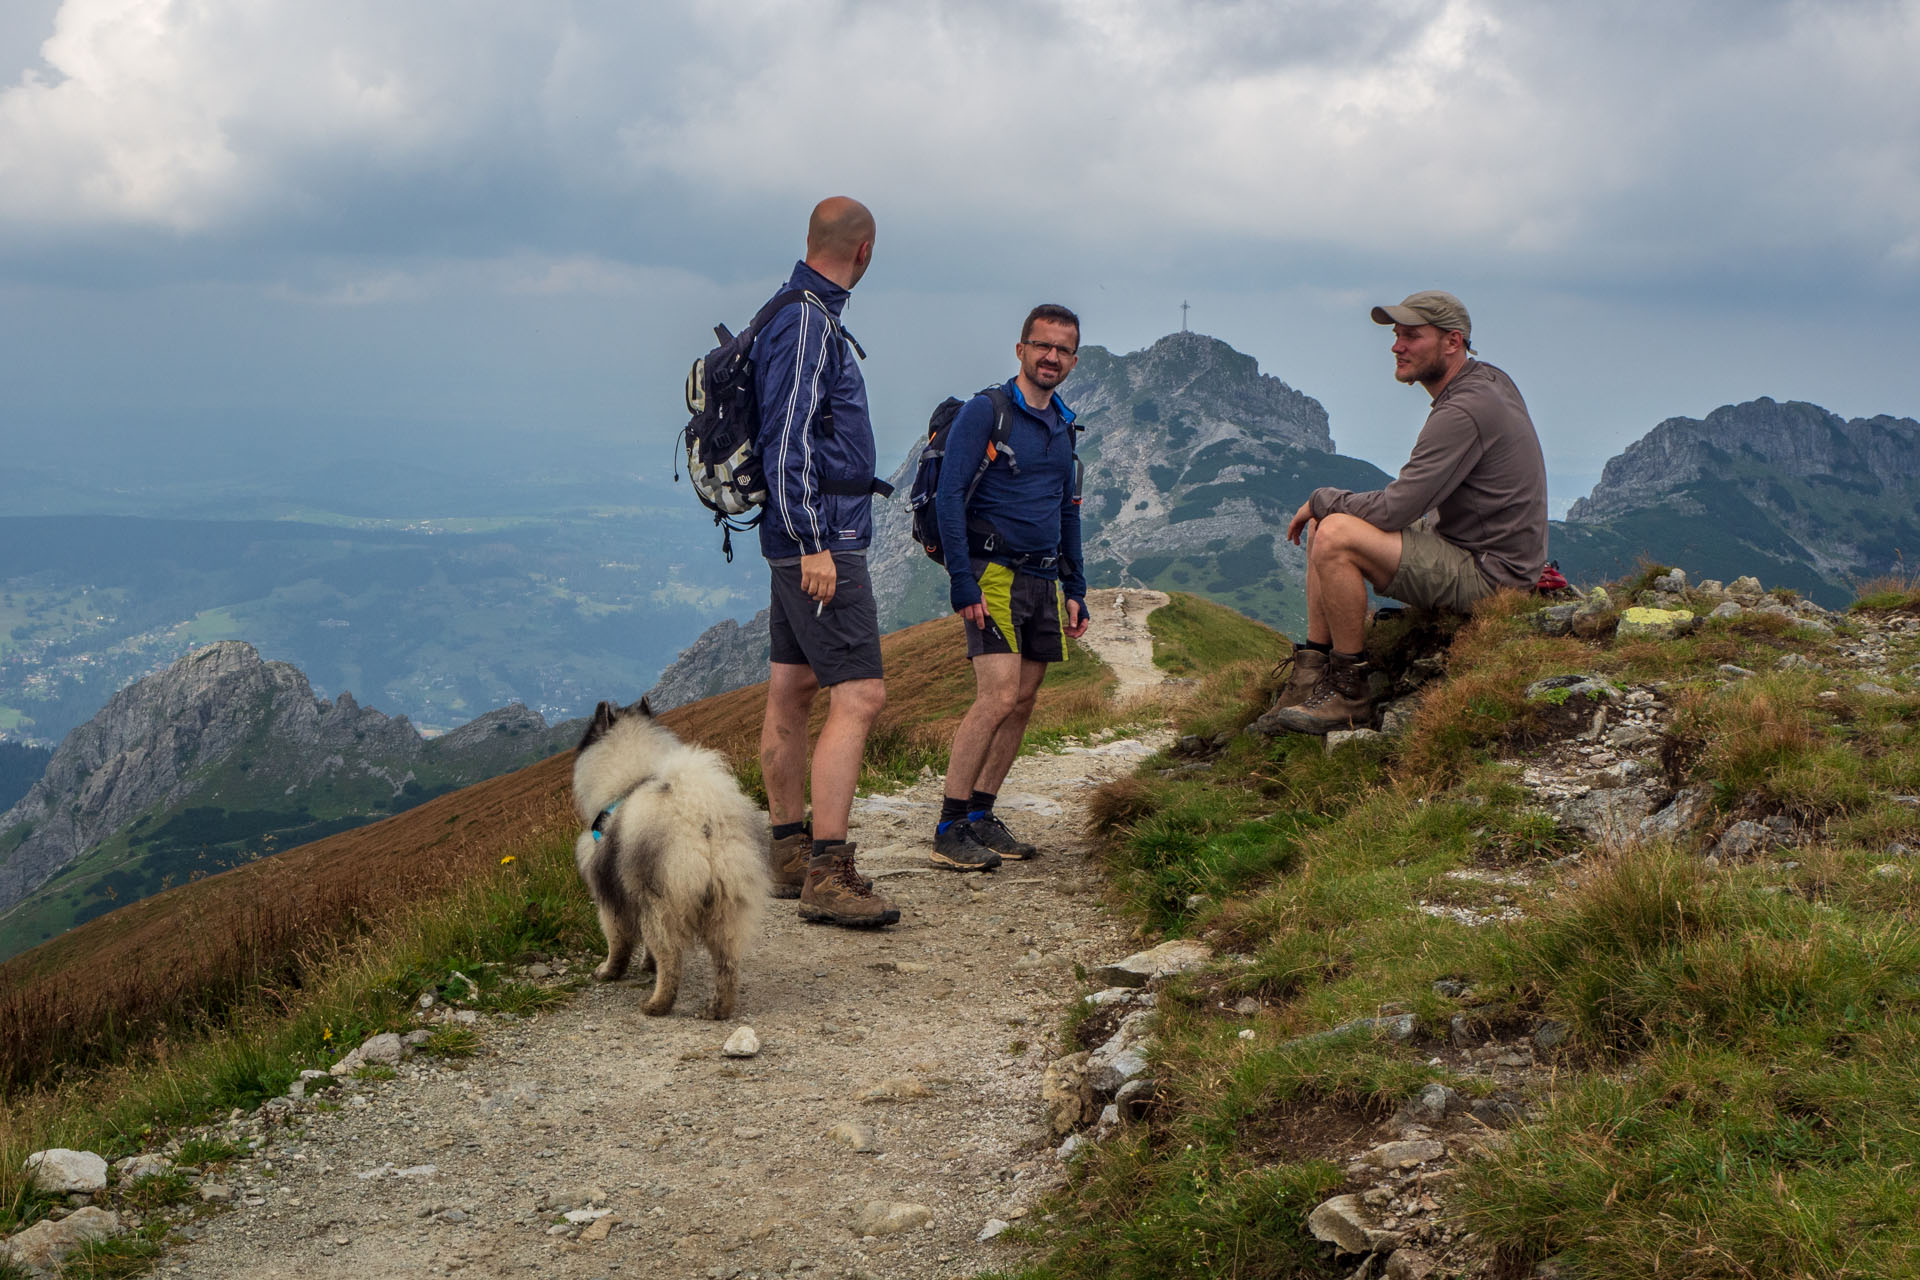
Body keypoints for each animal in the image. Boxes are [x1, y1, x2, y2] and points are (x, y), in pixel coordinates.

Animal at [572, 702, 768, 1020]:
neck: (629, 783)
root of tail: (699, 822)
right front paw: (645, 965)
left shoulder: (610, 898)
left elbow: (617, 941)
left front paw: (608, 971)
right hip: (727, 908)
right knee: (727, 963)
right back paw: (718, 1008)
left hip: (661, 907)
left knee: (671, 958)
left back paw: (658, 1004)